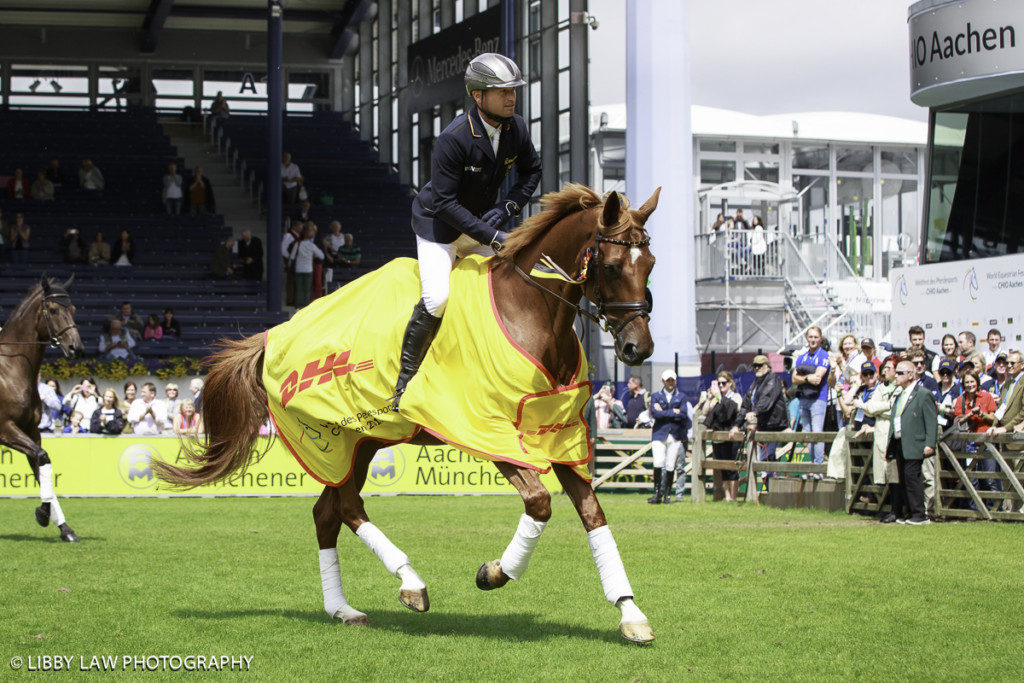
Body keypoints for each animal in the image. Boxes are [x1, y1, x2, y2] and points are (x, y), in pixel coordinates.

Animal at [0, 274, 83, 540]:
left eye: (73, 309)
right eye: (54, 310)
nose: (76, 348)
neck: (11, 371)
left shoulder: (31, 431)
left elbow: (42, 465)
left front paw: (64, 528)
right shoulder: (6, 429)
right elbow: (42, 457)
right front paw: (43, 514)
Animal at [155, 184, 659, 643]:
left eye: (651, 265)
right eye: (612, 266)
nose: (638, 349)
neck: (532, 314)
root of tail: (273, 335)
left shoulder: (561, 436)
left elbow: (593, 514)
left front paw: (630, 613)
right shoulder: (487, 431)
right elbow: (539, 502)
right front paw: (495, 572)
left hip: (360, 442)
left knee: (327, 512)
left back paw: (343, 609)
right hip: (333, 439)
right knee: (346, 507)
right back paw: (410, 582)